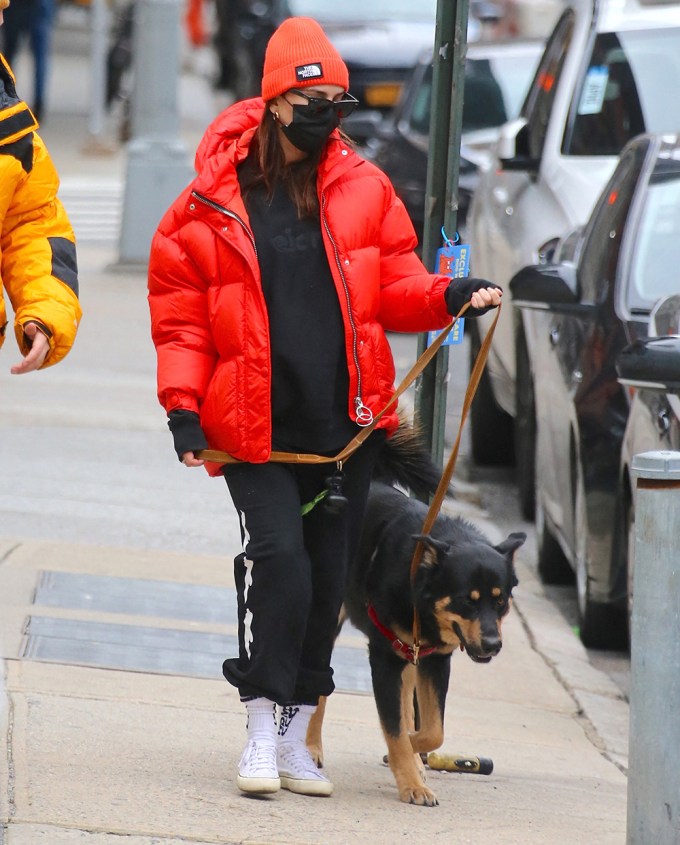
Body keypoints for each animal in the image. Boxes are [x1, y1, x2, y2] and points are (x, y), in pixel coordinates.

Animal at [308, 432, 524, 808]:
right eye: (468, 600)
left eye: (500, 601)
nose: (493, 645)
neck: (416, 582)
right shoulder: (385, 657)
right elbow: (395, 729)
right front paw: (410, 781)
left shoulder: (434, 661)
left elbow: (432, 730)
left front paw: (411, 758)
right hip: (328, 619)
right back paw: (310, 748)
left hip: (410, 655)